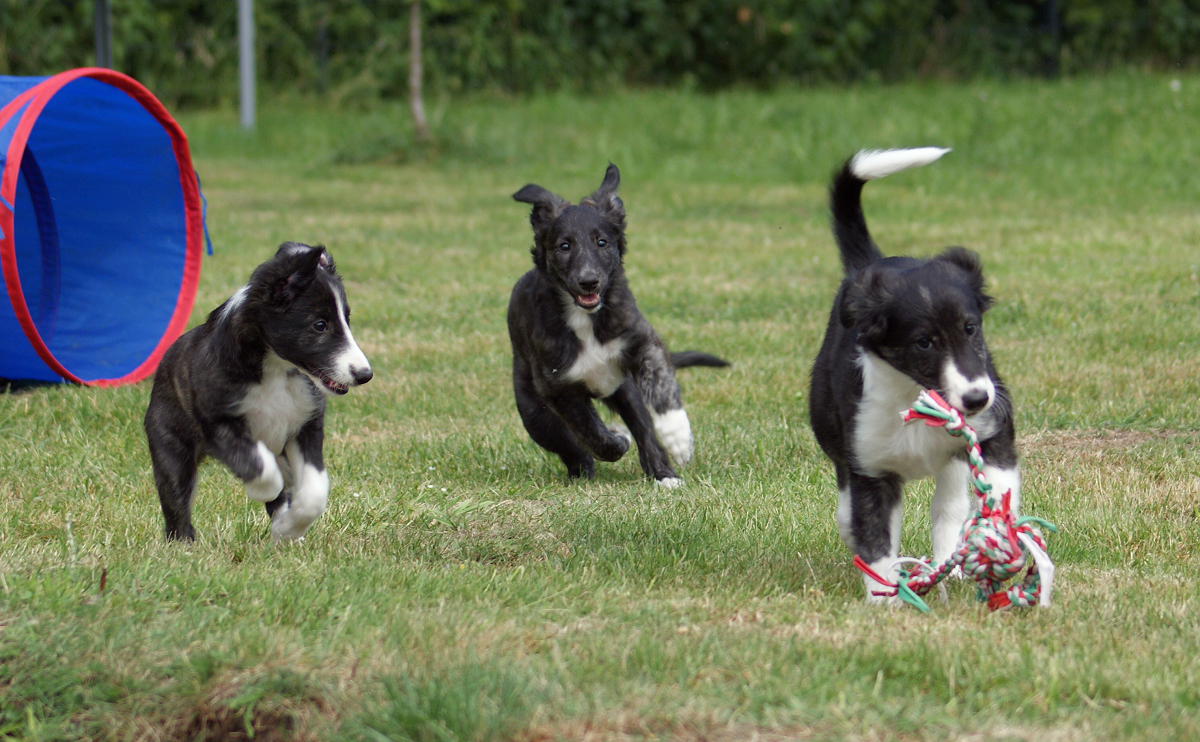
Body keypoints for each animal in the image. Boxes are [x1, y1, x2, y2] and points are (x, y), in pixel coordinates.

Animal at [811, 148, 1017, 600]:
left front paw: (996, 540)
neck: (915, 399)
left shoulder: (993, 433)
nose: (976, 399)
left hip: (952, 461)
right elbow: (875, 539)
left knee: (948, 509)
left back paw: (950, 568)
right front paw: (885, 598)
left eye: (971, 328)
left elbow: (998, 490)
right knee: (848, 510)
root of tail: (873, 265)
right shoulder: (870, 467)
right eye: (924, 342)